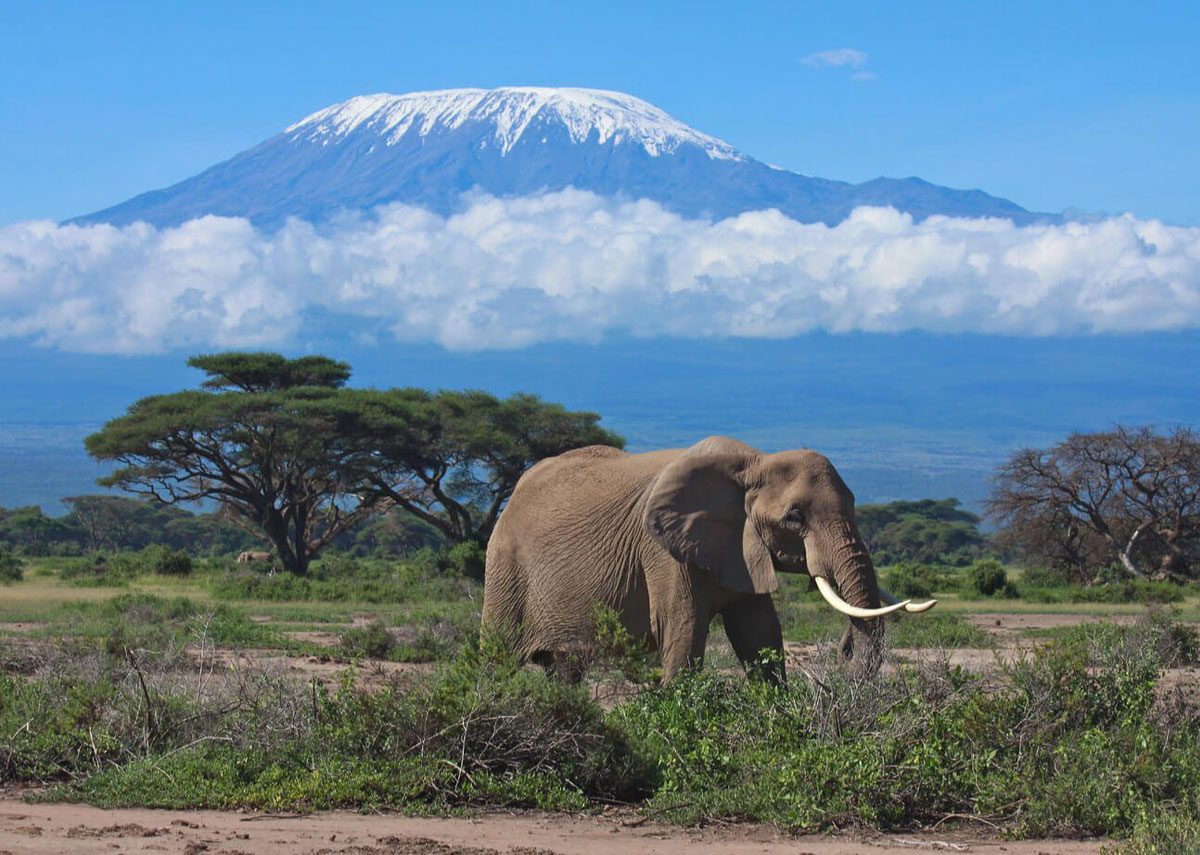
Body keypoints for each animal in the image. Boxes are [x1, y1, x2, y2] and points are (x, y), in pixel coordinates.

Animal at [482, 434, 931, 682]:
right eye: (795, 517)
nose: (844, 651)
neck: (753, 463)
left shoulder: (741, 548)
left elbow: (760, 634)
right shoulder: (662, 551)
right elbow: (683, 629)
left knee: (565, 669)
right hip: (504, 566)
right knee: (497, 657)